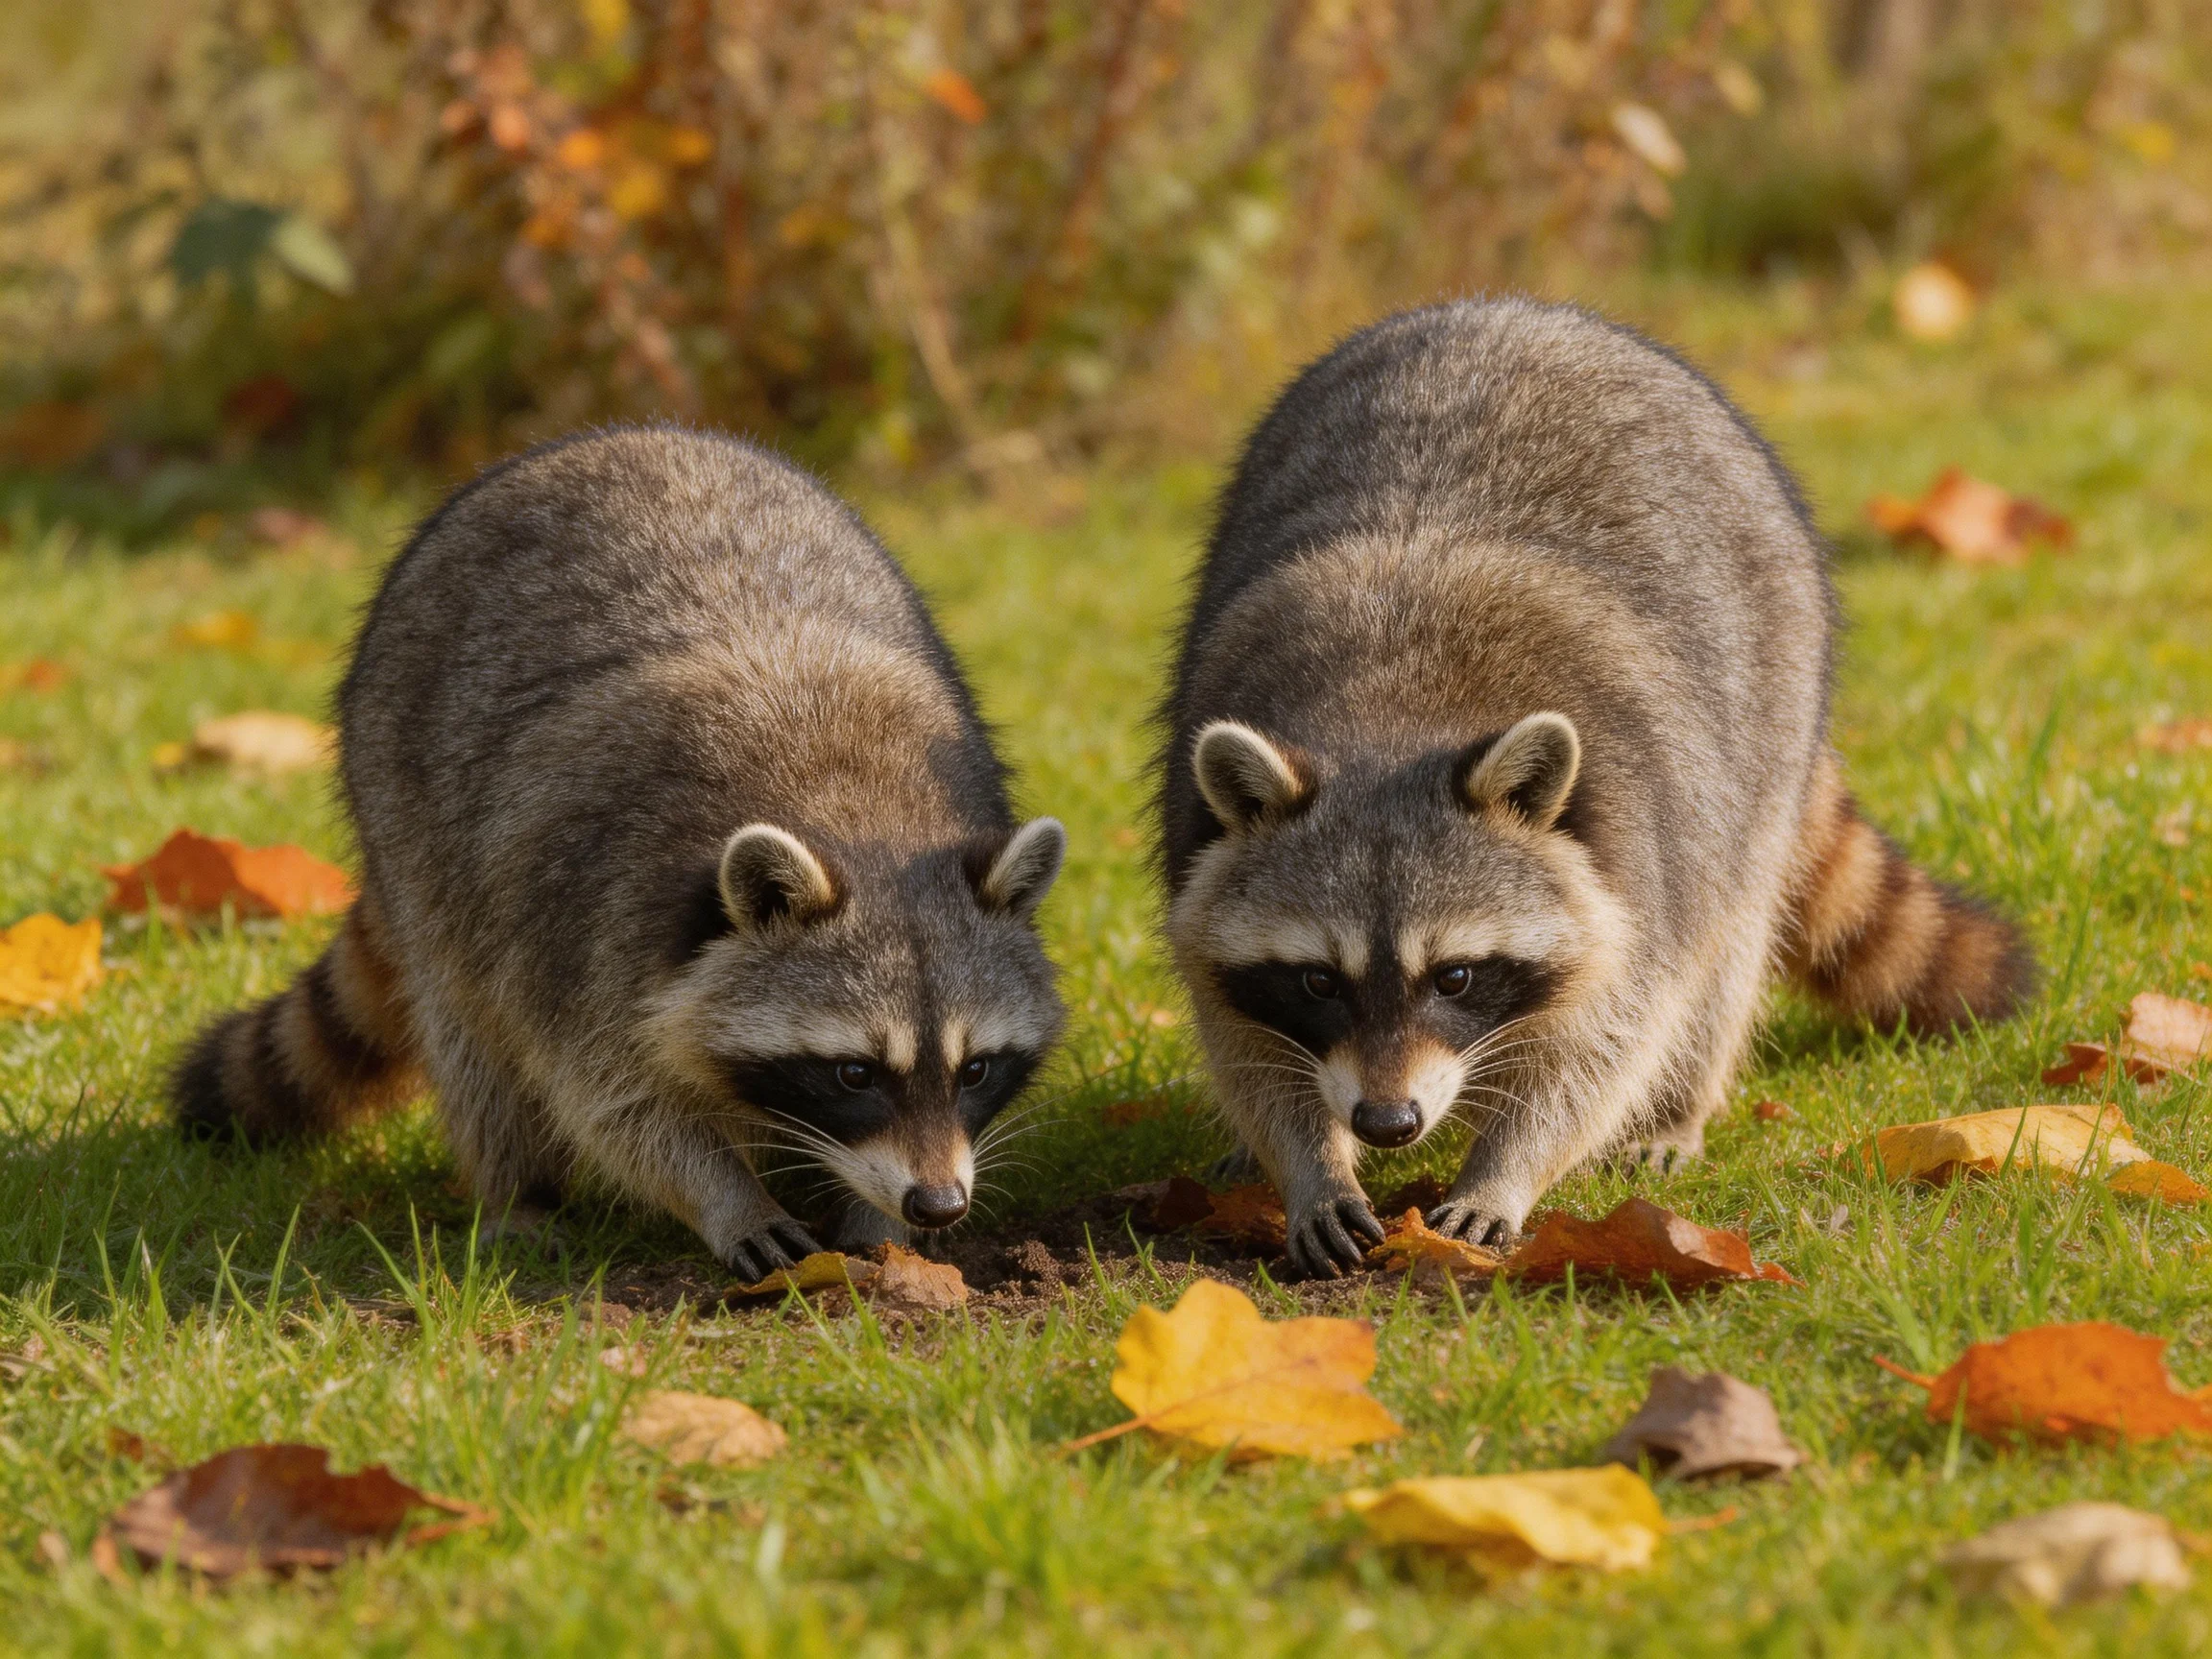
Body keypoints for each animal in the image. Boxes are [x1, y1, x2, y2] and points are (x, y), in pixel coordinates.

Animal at [173, 426, 1067, 1278]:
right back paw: (518, 1191)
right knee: (475, 1045)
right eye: (855, 1074)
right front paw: (727, 1198)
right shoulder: (583, 916)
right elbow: (611, 1099)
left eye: (976, 1069)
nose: (939, 1203)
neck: (855, 815)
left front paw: (873, 1218)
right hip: (403, 809)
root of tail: (611, 437)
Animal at [1158, 299, 2035, 1278]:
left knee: (1727, 952)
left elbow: (1604, 1046)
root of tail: (1514, 307)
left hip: (1772, 715)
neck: (1388, 719)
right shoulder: (1194, 830)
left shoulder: (1640, 846)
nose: (1386, 1123)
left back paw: (1682, 1102)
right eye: (1316, 980)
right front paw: (1307, 1160)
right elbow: (1239, 1033)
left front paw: (1506, 1168)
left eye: (1455, 975)